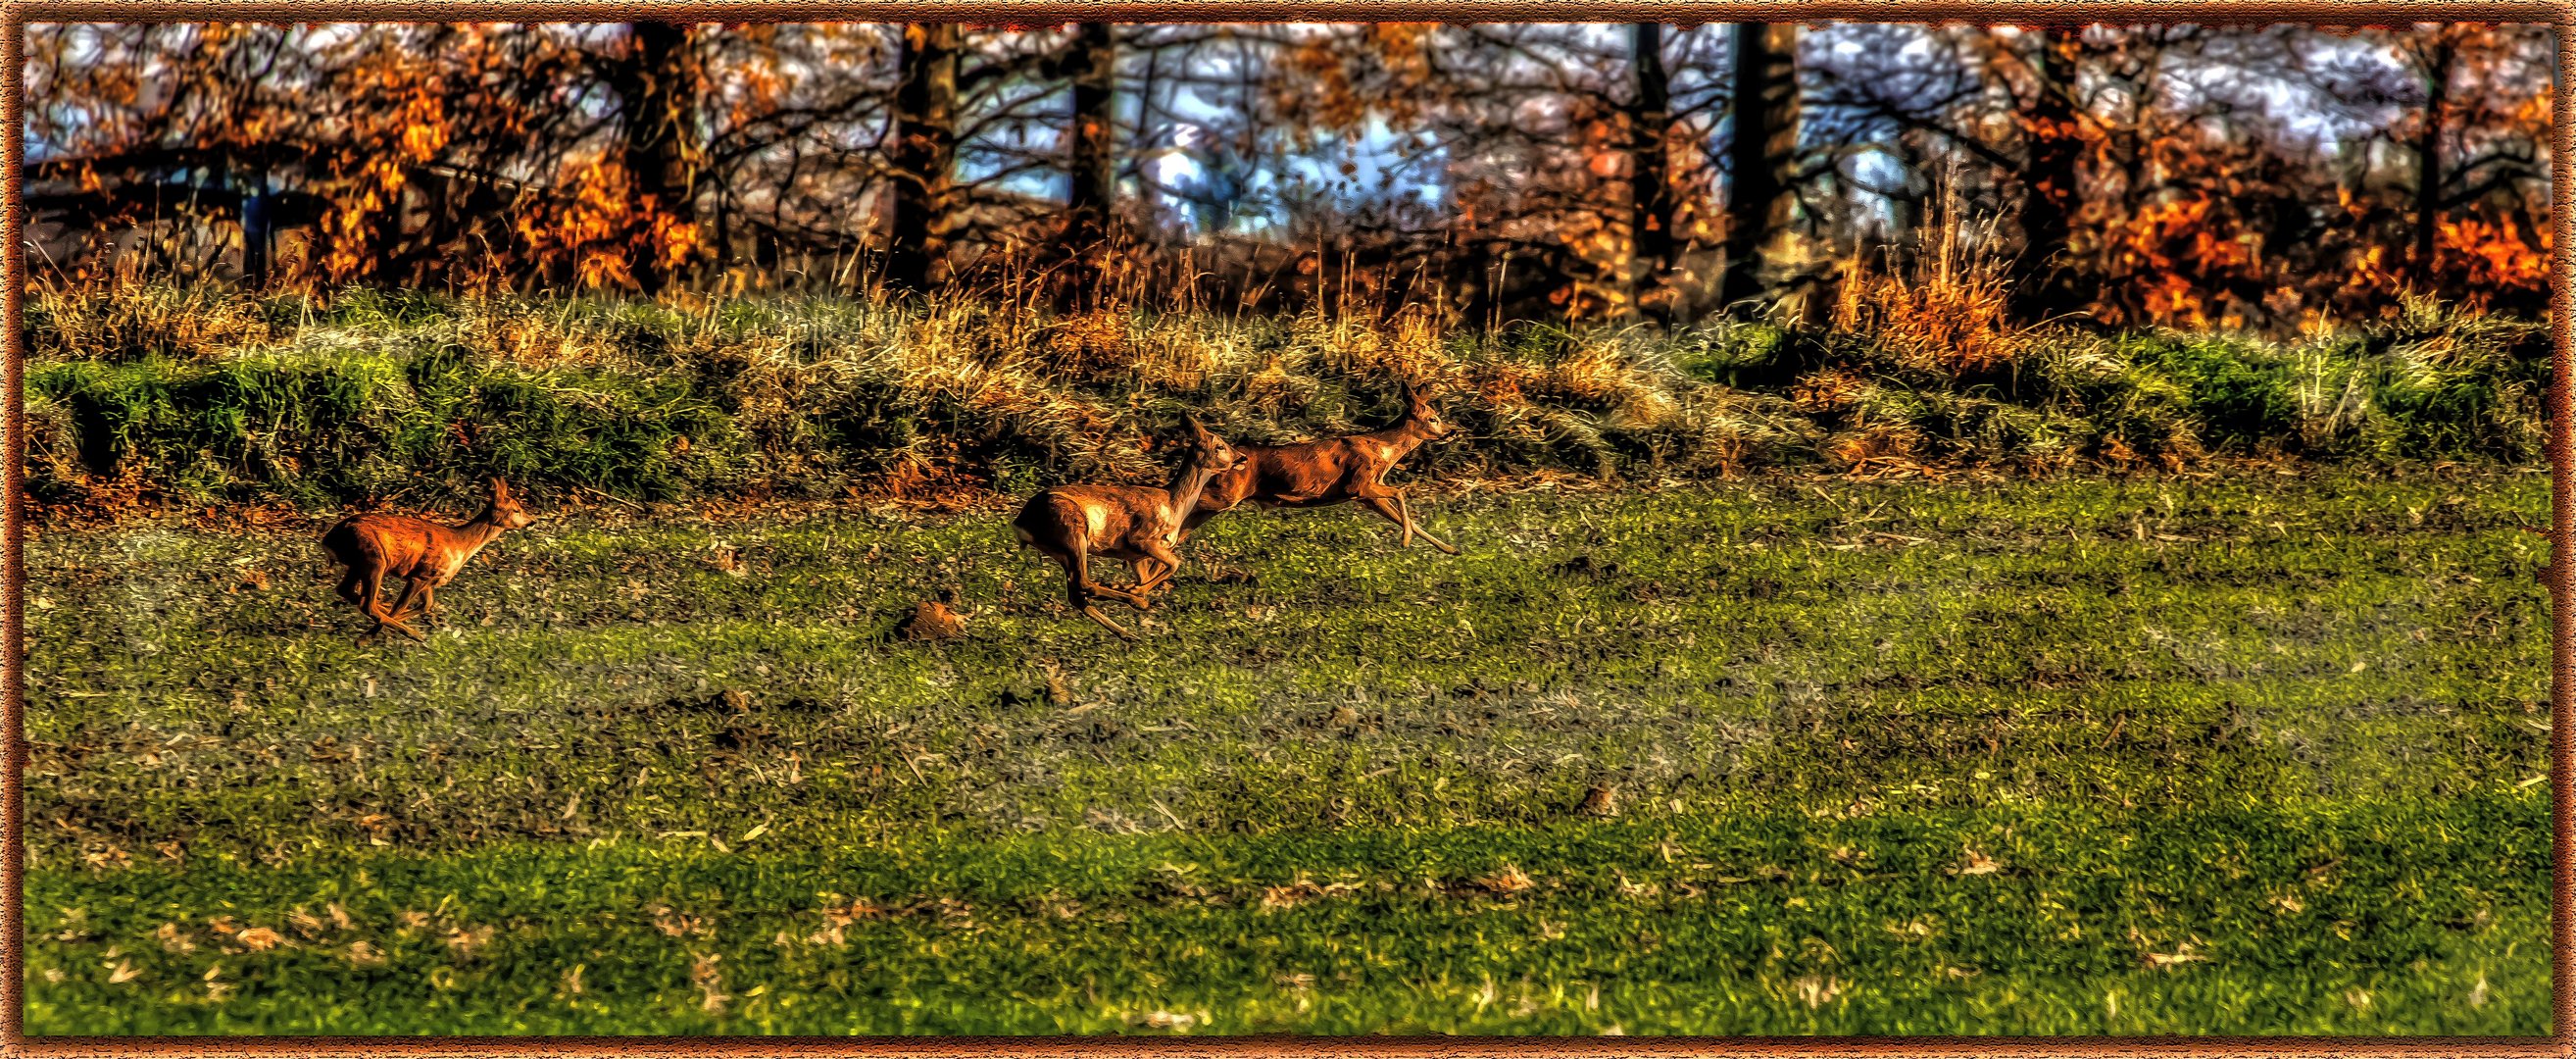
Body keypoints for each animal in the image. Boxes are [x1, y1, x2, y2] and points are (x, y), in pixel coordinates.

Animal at [324, 479, 540, 638]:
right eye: (516, 509)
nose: (532, 521)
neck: (459, 544)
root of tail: (329, 538)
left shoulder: (430, 579)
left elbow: (426, 605)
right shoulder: (421, 574)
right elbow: (401, 606)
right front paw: (367, 638)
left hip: (359, 563)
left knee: (346, 590)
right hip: (375, 558)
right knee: (367, 604)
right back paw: (413, 635)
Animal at [1004, 420, 1246, 641]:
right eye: (1220, 446)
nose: (1242, 458)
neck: (1174, 505)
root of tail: (1021, 522)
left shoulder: (1135, 557)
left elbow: (1155, 572)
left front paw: (1131, 588)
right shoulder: (1141, 538)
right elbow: (1175, 563)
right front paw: (1135, 592)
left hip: (1061, 549)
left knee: (1076, 594)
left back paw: (1128, 633)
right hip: (1072, 530)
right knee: (1083, 583)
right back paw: (1135, 603)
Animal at [1133, 378, 1462, 589]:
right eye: (1433, 418)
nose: (1451, 430)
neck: (1383, 450)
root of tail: (1231, 459)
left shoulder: (1366, 495)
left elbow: (1405, 514)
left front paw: (1449, 549)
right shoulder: (1358, 484)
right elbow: (1401, 491)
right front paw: (1406, 541)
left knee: (1180, 530)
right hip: (1223, 495)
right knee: (1178, 511)